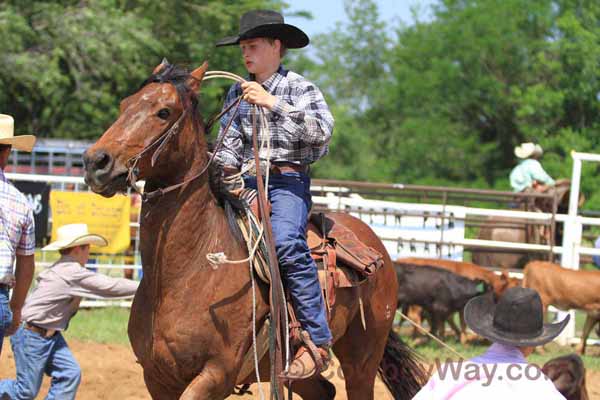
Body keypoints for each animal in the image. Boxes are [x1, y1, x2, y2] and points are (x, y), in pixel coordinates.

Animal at [82, 60, 424, 400]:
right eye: (124, 105)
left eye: (164, 111)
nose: (96, 161)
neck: (188, 272)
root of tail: (374, 244)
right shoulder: (157, 378)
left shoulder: (216, 375)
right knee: (323, 390)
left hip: (362, 357)